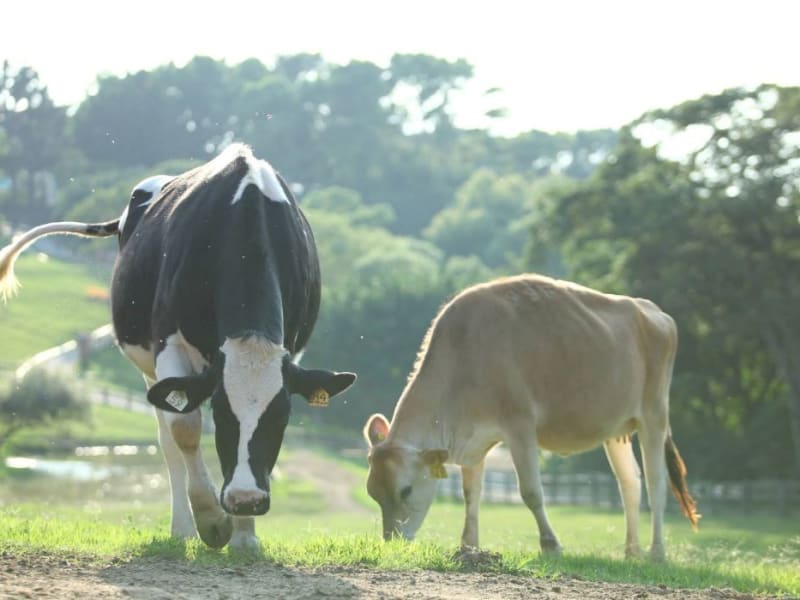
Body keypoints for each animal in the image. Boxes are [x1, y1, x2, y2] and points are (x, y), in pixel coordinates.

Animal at [0, 144, 356, 549]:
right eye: (222, 414)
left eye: (281, 417)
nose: (246, 499)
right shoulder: (167, 345)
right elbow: (185, 428)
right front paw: (212, 520)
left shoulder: (290, 351)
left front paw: (244, 537)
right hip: (149, 369)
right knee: (167, 438)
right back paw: (183, 527)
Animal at [363, 274, 698, 561]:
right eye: (373, 493)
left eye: (405, 490)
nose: (393, 541)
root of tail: (654, 311)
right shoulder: (473, 439)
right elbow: (471, 494)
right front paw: (469, 547)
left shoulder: (520, 424)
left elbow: (531, 491)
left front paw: (551, 545)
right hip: (617, 428)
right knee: (630, 482)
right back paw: (631, 552)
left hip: (654, 414)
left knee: (656, 483)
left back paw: (657, 553)